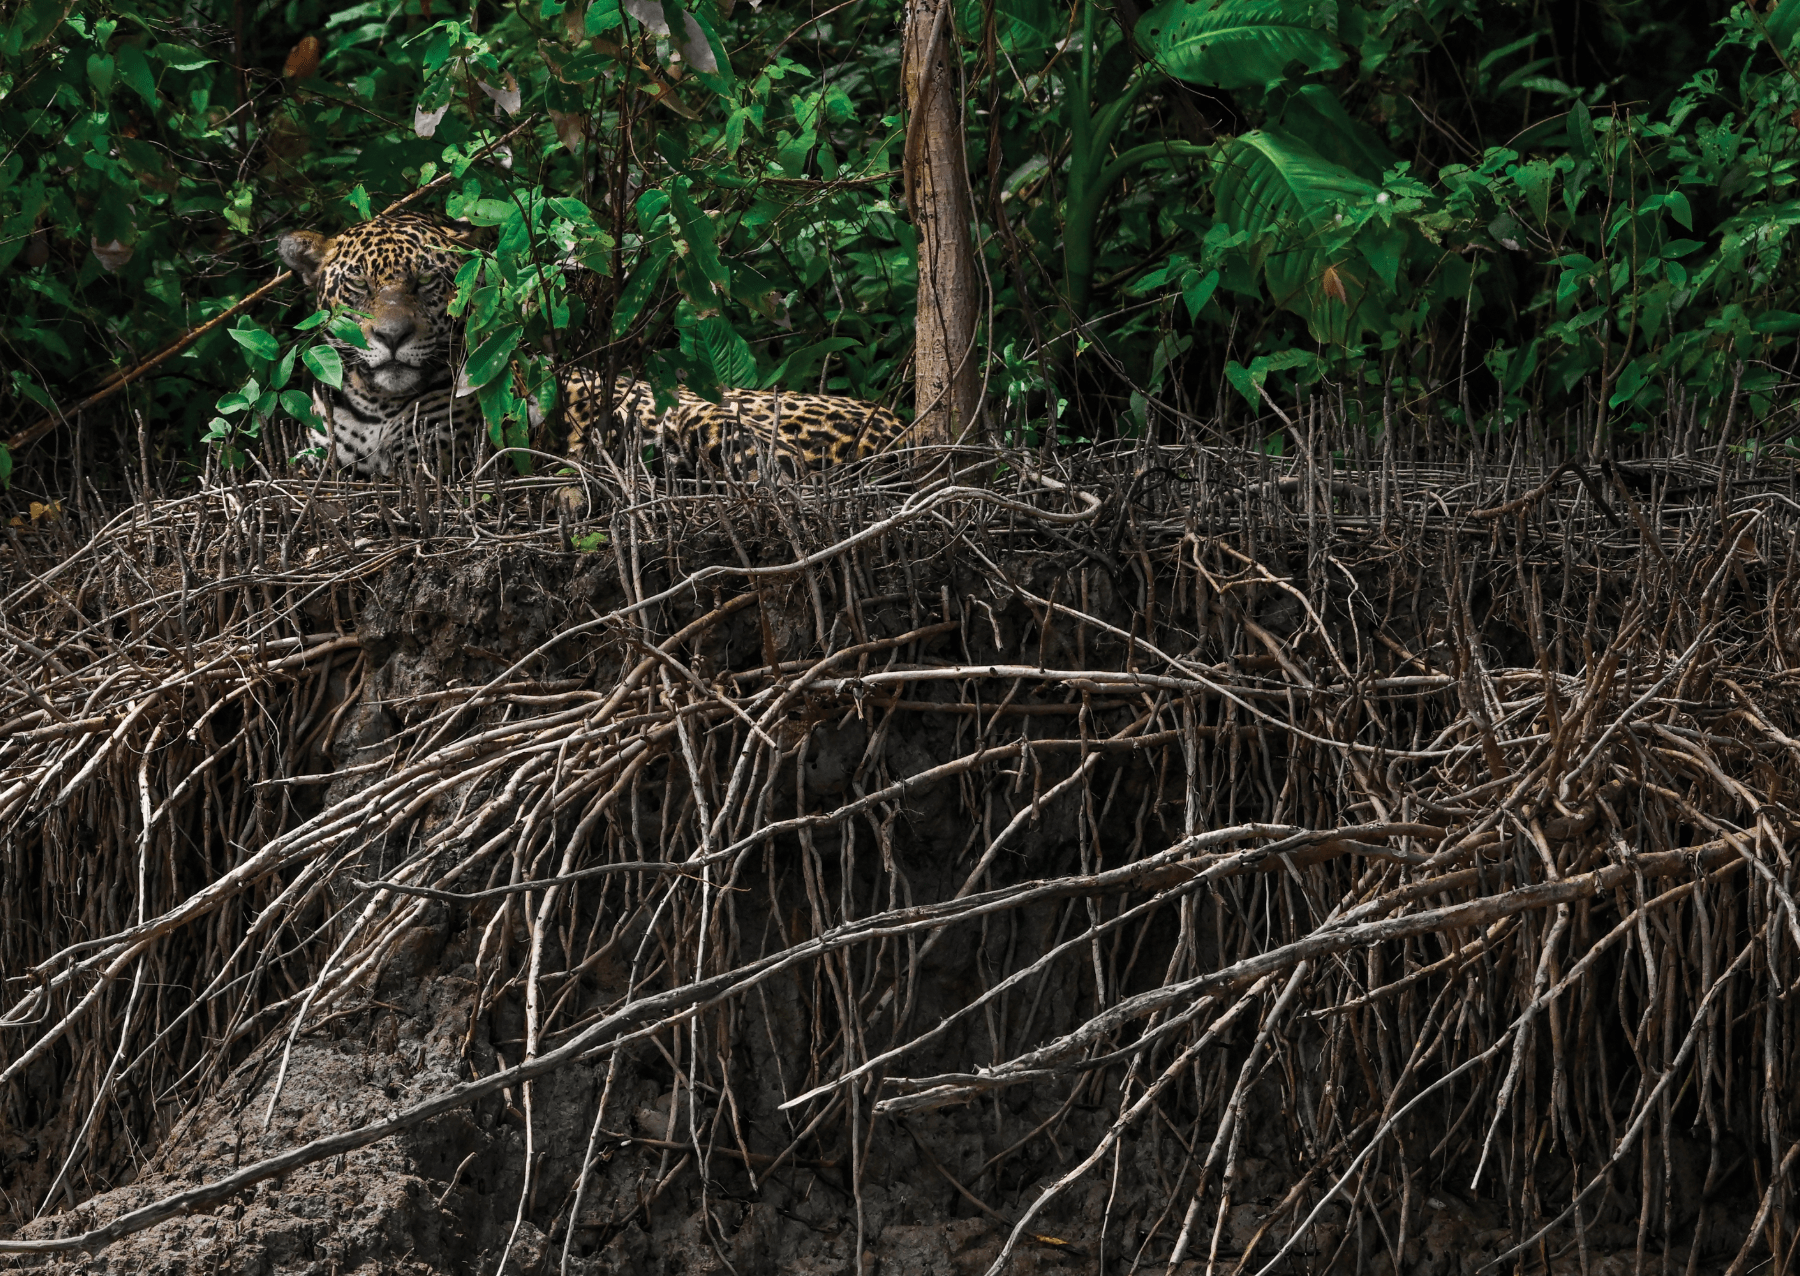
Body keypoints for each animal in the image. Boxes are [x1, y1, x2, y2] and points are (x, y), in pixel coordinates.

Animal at [277, 212, 912, 481]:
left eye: (427, 282)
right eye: (359, 287)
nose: (391, 337)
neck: (376, 405)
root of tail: (905, 427)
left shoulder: (441, 464)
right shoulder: (316, 459)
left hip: (709, 418)